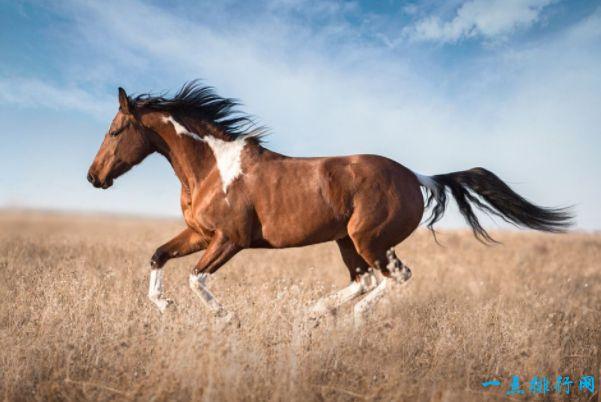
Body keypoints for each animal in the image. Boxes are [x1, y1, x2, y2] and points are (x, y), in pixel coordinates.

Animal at [85, 81, 572, 320]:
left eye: (115, 130)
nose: (93, 177)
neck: (212, 168)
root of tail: (416, 176)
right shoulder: (199, 234)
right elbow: (157, 256)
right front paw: (164, 307)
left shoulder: (229, 239)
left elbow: (195, 279)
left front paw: (226, 318)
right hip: (347, 241)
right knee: (366, 280)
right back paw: (316, 312)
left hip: (368, 239)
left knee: (394, 277)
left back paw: (351, 318)